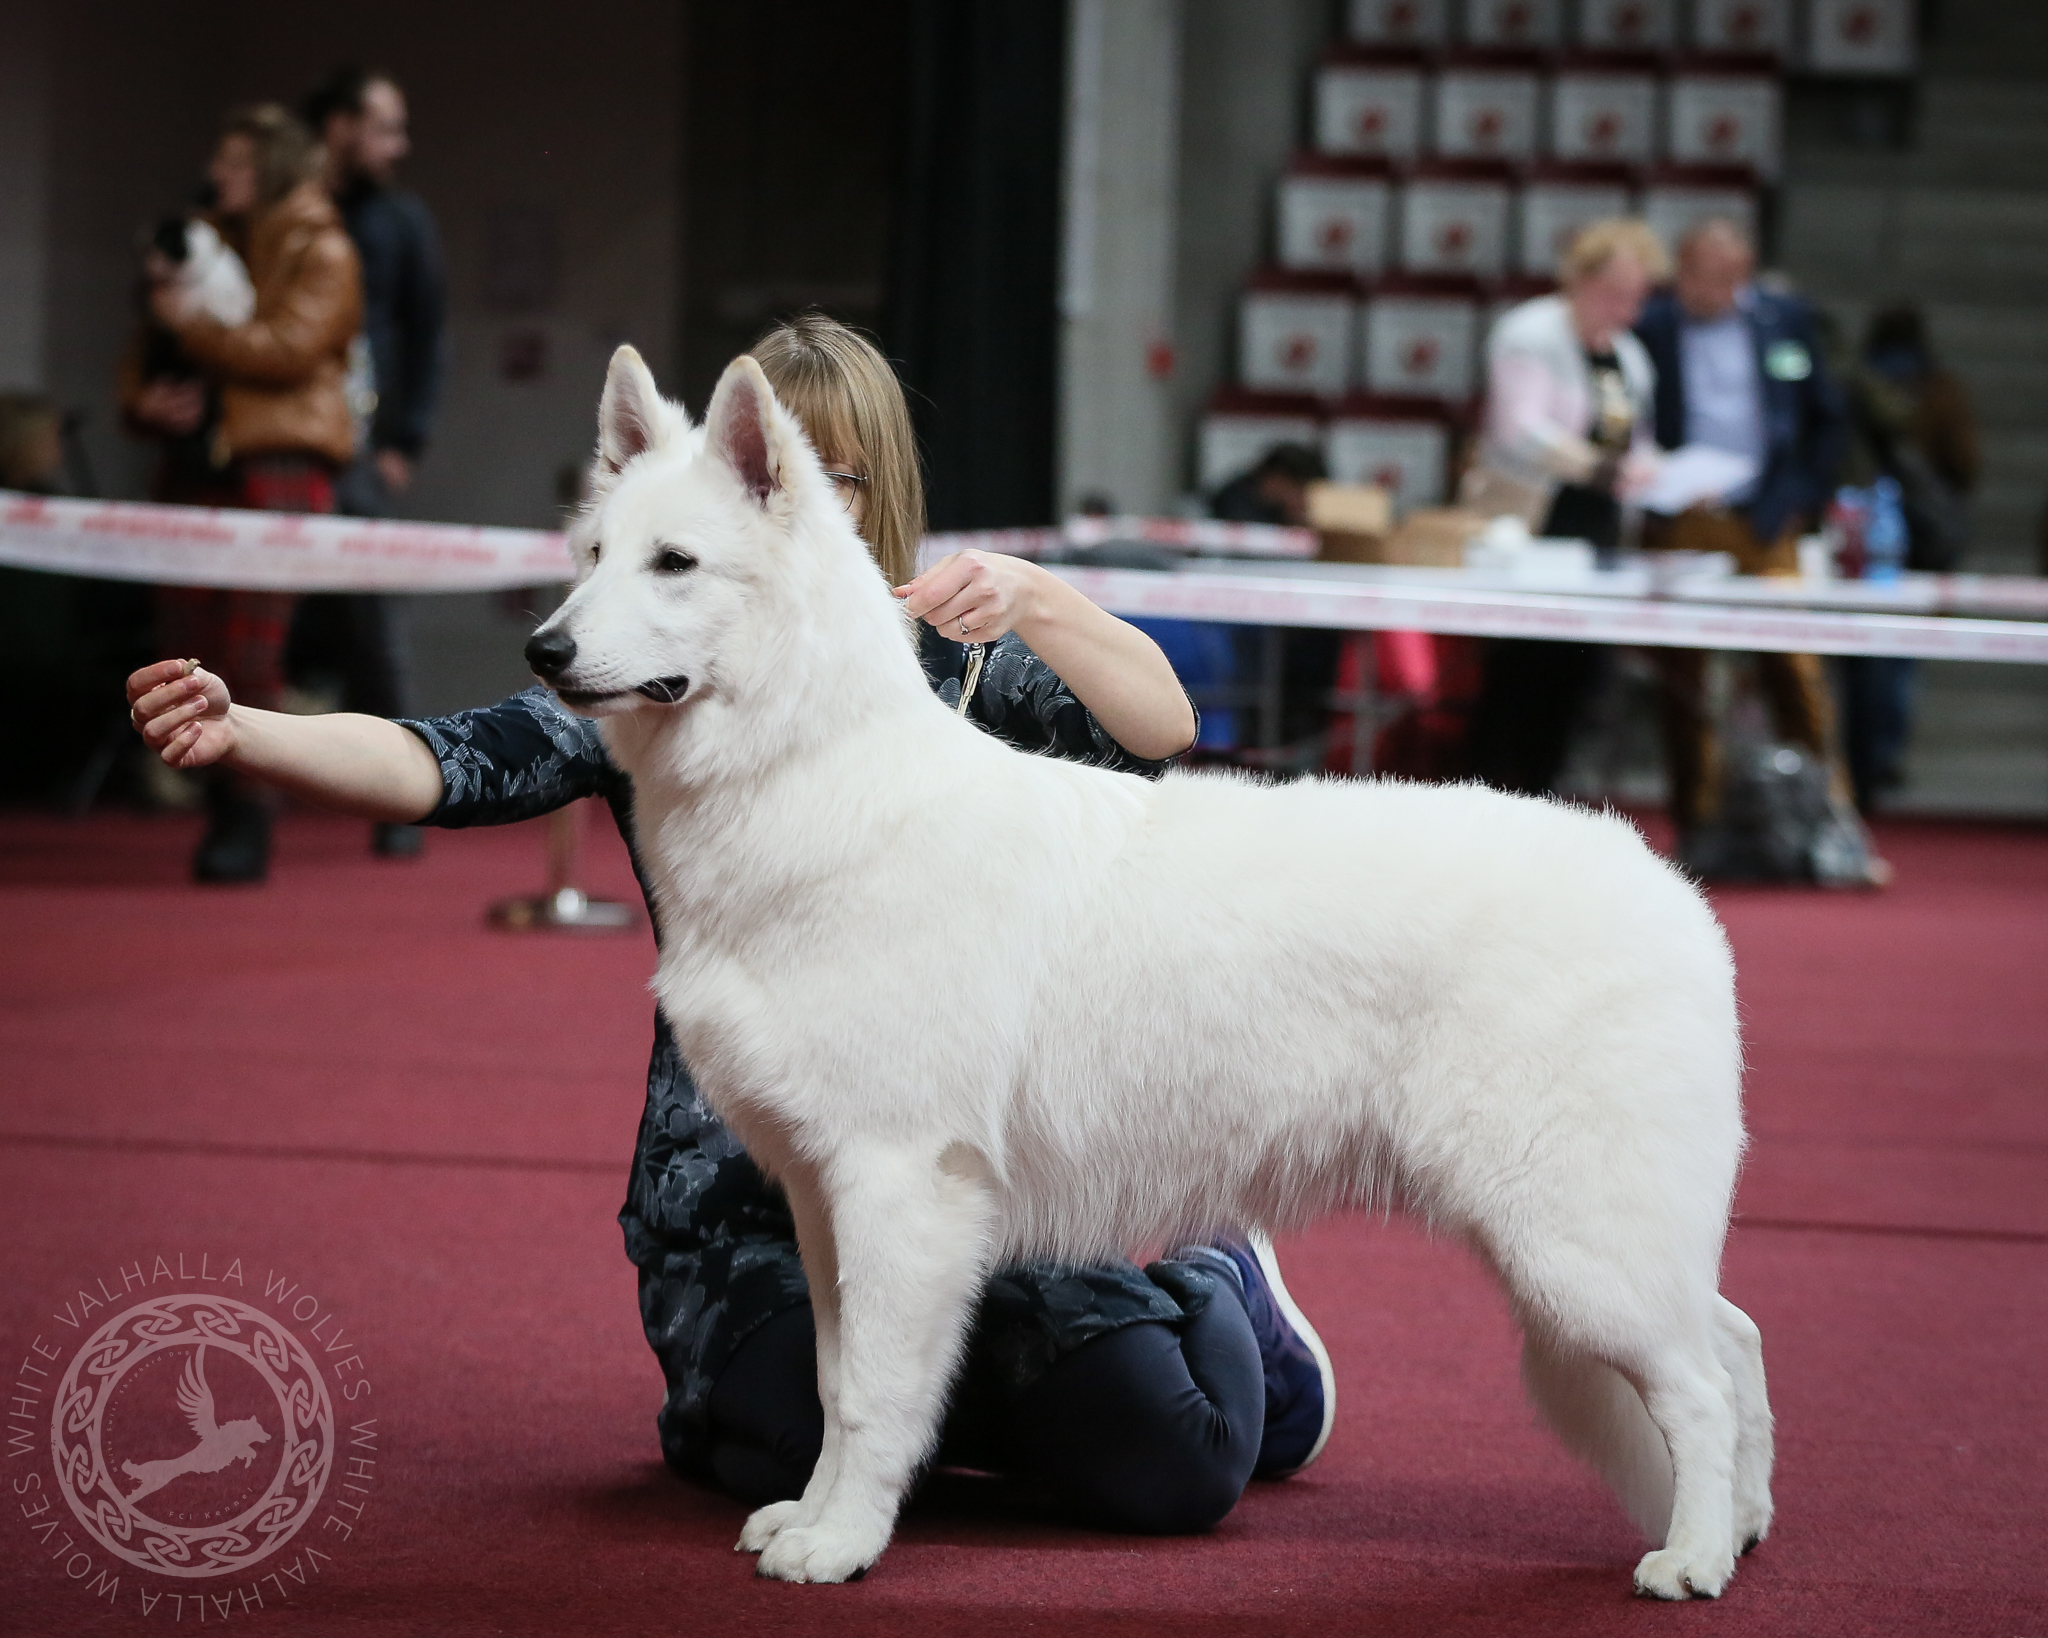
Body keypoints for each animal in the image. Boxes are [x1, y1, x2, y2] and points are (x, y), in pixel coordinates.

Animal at [536, 348, 1769, 1597]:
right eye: (589, 556)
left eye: (674, 563)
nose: (544, 652)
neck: (812, 776)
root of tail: (1671, 894)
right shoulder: (824, 1201)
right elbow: (834, 1386)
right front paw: (811, 1516)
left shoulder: (898, 1189)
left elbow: (877, 1394)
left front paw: (842, 1545)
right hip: (1593, 1244)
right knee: (1734, 1341)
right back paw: (1743, 1527)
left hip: (1570, 1246)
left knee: (1699, 1387)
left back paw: (1691, 1559)